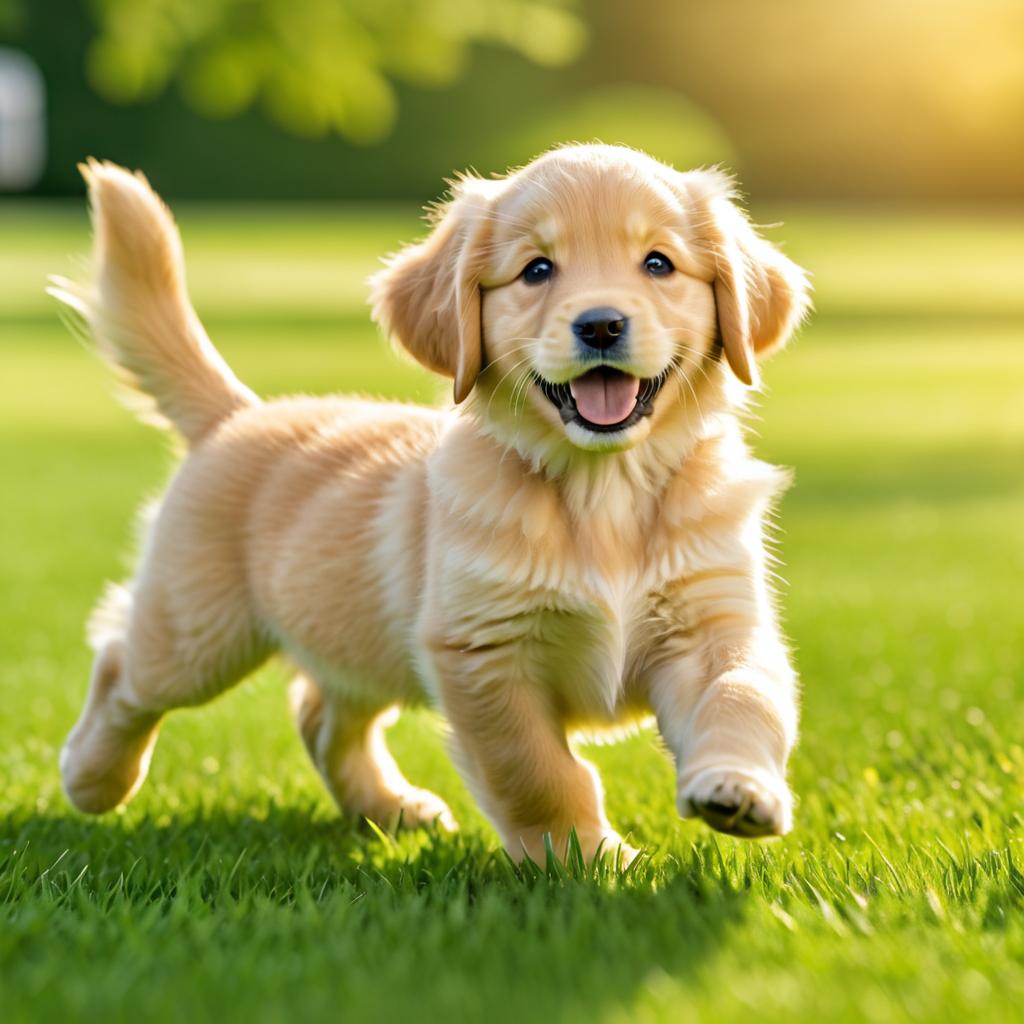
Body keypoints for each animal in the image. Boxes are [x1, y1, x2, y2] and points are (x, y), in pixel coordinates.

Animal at [54, 144, 806, 860]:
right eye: (537, 270)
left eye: (658, 263)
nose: (599, 326)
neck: (603, 489)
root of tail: (237, 414)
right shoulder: (481, 652)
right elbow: (537, 773)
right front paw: (589, 860)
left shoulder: (712, 624)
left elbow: (742, 697)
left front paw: (738, 789)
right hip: (199, 631)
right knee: (124, 666)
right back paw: (92, 776)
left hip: (353, 641)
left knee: (321, 715)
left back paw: (389, 807)